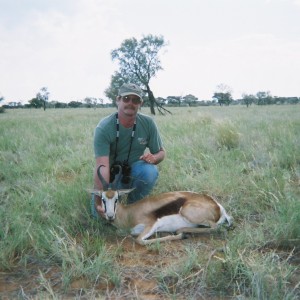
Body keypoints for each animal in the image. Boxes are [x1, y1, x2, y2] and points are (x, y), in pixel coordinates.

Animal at [90, 165, 233, 245]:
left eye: (117, 198)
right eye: (102, 199)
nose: (110, 216)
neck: (128, 214)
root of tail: (217, 206)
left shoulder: (151, 224)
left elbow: (139, 240)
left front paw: (180, 236)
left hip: (187, 212)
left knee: (216, 228)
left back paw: (182, 232)